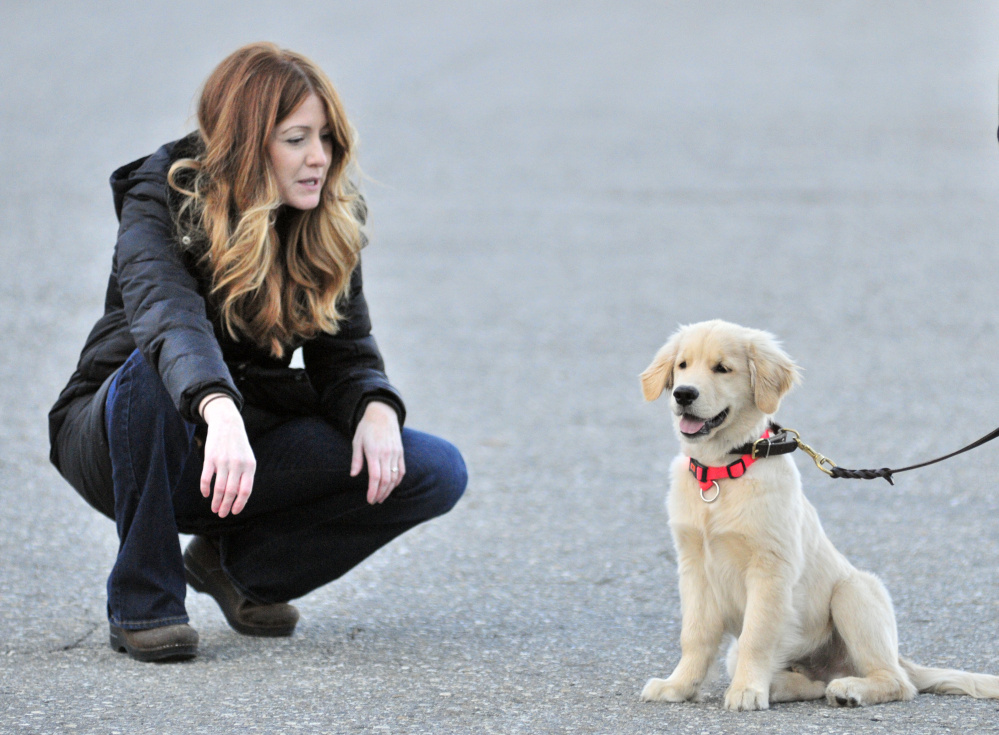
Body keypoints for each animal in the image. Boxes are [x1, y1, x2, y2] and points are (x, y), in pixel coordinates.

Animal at [640, 320, 999, 712]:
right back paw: (782, 685)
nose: (683, 394)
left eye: (722, 368)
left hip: (853, 592)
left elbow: (756, 635)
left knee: (897, 682)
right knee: (813, 681)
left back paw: (849, 689)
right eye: (682, 366)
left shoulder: (770, 569)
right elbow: (695, 635)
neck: (722, 470)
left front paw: (747, 690)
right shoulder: (693, 567)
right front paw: (679, 685)